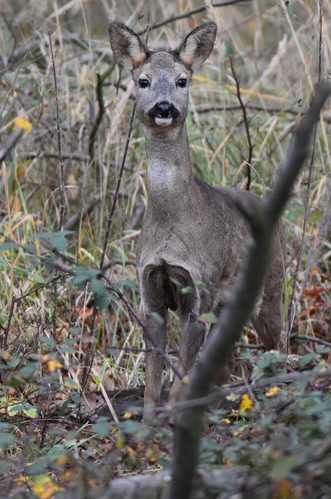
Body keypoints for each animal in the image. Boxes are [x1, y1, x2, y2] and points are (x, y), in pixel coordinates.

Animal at [109, 20, 288, 414]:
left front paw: (175, 415)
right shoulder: (150, 293)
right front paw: (148, 420)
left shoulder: (199, 291)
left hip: (271, 287)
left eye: (182, 80)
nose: (164, 107)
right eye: (142, 80)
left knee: (277, 345)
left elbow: (179, 382)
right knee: (227, 361)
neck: (172, 225)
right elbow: (153, 378)